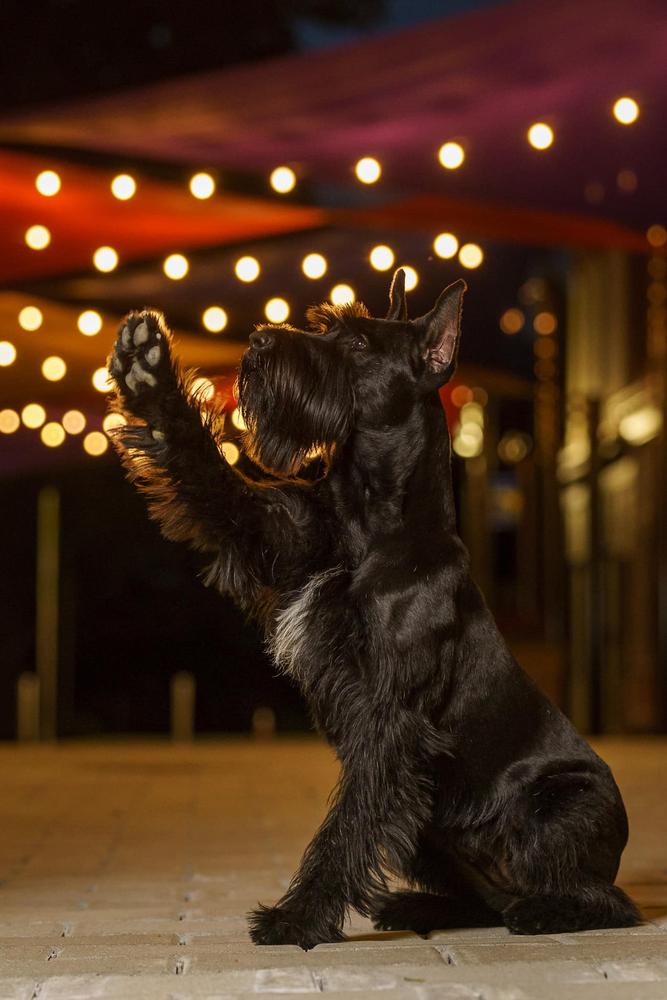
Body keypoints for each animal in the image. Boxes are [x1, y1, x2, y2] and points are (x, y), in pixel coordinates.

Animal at [107, 270, 640, 948]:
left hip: (557, 809)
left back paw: (546, 911)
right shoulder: (271, 534)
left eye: (358, 343)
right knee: (486, 898)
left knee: (604, 899)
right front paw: (147, 371)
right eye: (325, 326)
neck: (371, 516)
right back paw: (419, 908)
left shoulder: (390, 717)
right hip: (427, 822)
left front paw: (297, 916)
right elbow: (208, 470)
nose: (258, 344)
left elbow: (345, 826)